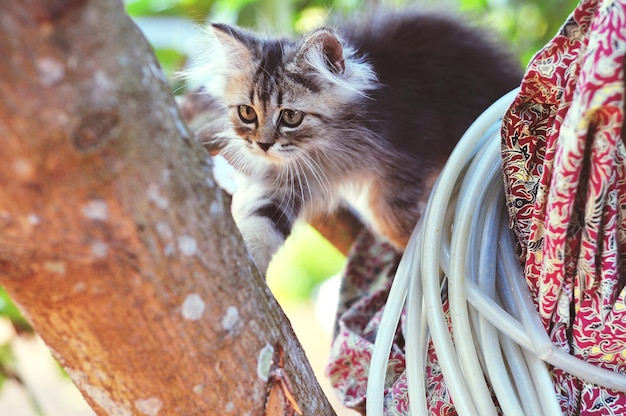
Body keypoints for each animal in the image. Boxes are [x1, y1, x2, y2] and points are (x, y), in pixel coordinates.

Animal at [183, 8, 520, 272]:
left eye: (290, 116)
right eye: (247, 113)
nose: (262, 145)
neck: (325, 146)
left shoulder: (409, 152)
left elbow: (392, 216)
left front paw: (415, 246)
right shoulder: (290, 182)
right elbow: (262, 224)